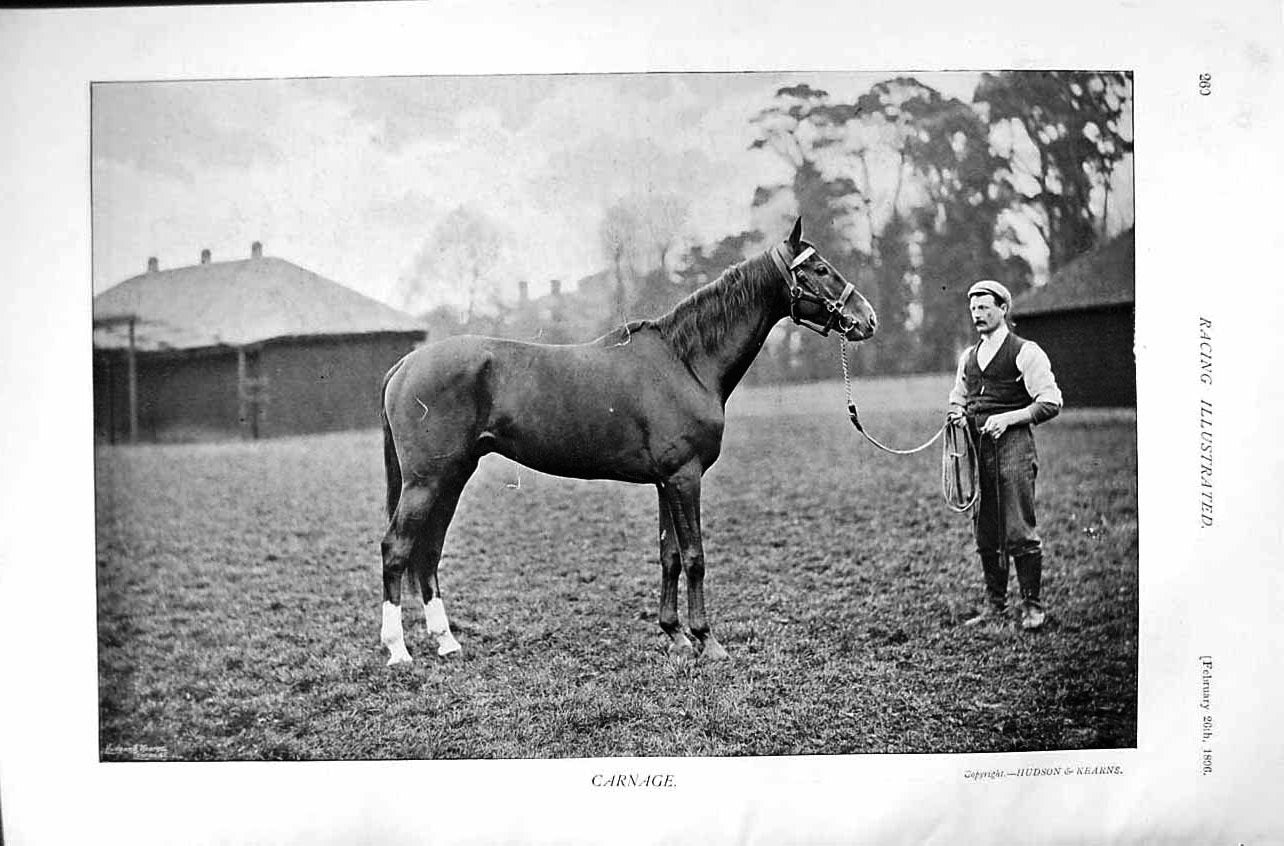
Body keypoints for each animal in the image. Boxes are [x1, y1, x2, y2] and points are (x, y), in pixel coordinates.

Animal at [378, 218, 877, 665]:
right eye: (820, 269)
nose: (867, 319)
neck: (684, 362)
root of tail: (405, 364)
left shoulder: (665, 482)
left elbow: (669, 555)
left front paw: (675, 636)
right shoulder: (684, 478)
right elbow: (695, 555)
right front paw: (707, 641)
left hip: (452, 476)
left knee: (429, 551)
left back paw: (447, 642)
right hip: (427, 480)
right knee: (396, 549)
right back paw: (398, 651)